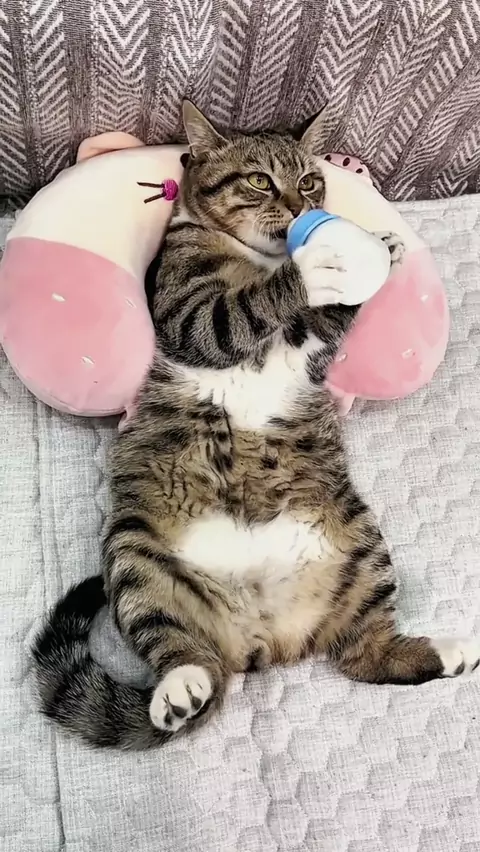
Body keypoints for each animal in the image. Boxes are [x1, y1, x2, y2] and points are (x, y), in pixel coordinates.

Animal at [33, 102, 479, 749]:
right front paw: (319, 259)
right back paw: (180, 688)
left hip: (360, 541)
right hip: (135, 554)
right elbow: (244, 308)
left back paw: (445, 651)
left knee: (363, 655)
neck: (259, 257)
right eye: (259, 180)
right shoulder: (187, 312)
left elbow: (324, 317)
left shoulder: (311, 346)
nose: (299, 211)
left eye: (310, 182)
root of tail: (261, 636)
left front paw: (380, 250)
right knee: (184, 654)